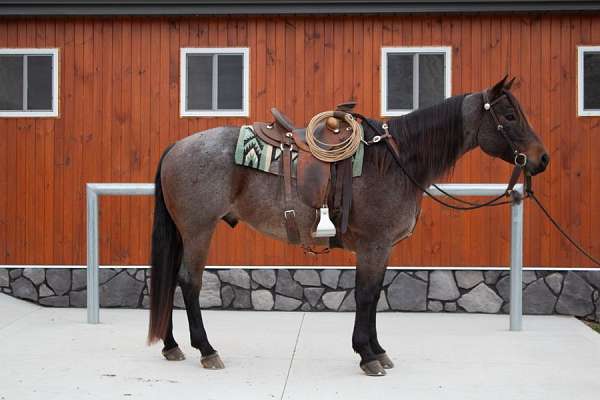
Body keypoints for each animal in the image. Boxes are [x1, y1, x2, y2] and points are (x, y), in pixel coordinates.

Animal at [145, 76, 548, 376]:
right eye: (509, 115)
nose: (541, 159)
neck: (394, 161)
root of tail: (176, 146)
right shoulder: (373, 245)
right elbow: (366, 295)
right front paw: (367, 355)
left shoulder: (381, 250)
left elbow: (374, 294)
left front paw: (377, 350)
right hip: (199, 230)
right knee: (189, 282)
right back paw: (206, 350)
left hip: (183, 231)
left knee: (171, 279)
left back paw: (172, 345)